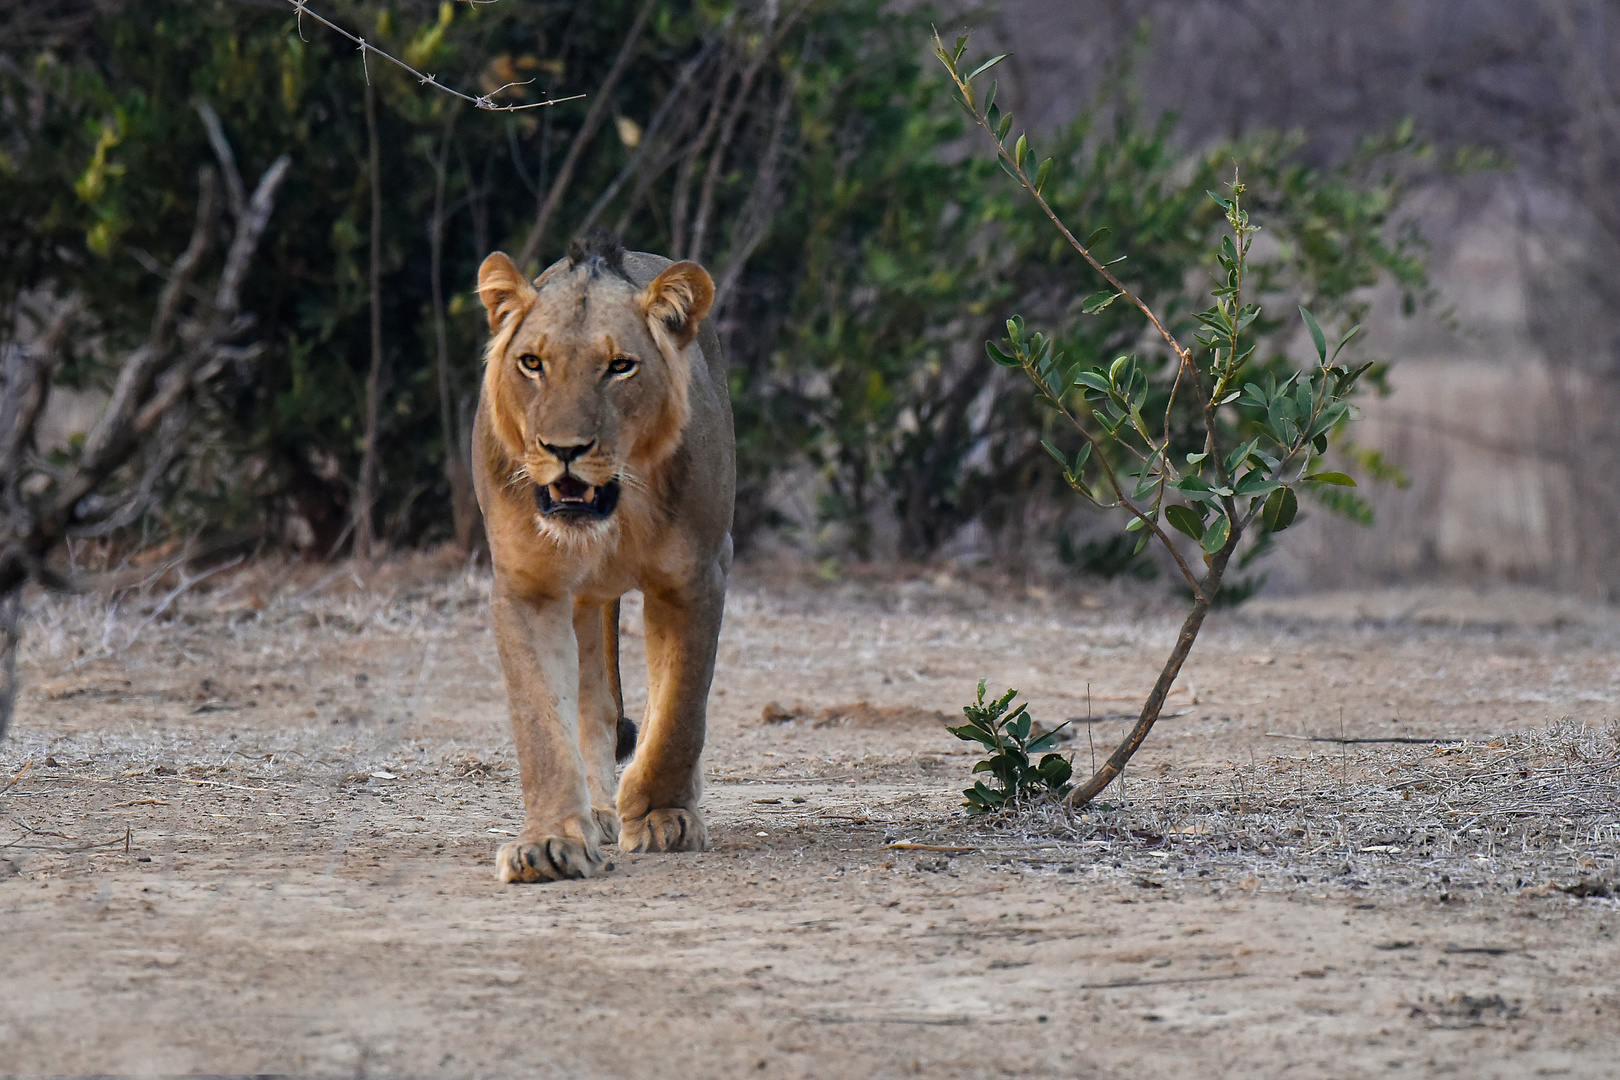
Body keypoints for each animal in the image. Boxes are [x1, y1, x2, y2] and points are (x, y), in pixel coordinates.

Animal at [473, 233, 735, 880]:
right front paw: (548, 843)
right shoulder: (528, 585)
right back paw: (595, 811)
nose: (563, 449)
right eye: (532, 363)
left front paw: (664, 816)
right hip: (586, 601)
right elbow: (542, 722)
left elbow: (679, 712)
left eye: (620, 366)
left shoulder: (697, 576)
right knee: (594, 704)